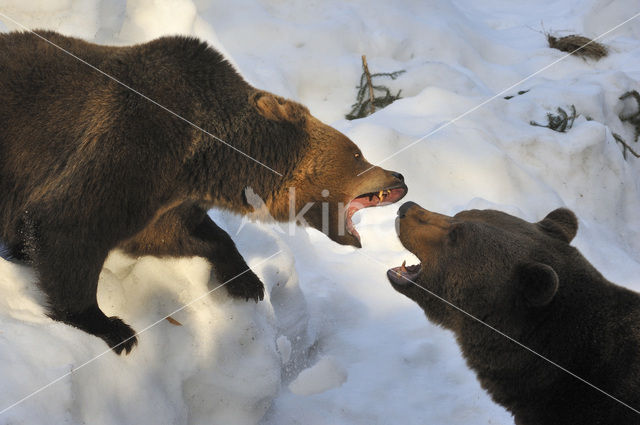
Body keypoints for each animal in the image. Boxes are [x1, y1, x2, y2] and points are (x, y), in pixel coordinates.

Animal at [0, 30, 408, 352]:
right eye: (357, 153)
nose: (399, 177)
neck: (209, 153)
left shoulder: (168, 193)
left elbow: (173, 234)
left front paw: (247, 280)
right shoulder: (136, 141)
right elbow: (69, 223)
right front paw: (111, 326)